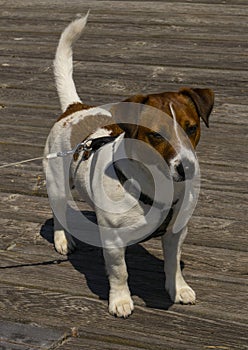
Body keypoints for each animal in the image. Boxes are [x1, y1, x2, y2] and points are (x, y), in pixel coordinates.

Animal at [43, 14, 214, 318]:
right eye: (156, 135)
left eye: (191, 128)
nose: (187, 169)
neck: (155, 186)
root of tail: (74, 108)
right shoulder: (113, 241)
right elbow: (119, 272)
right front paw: (121, 300)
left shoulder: (176, 232)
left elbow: (173, 264)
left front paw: (178, 289)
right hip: (57, 185)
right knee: (58, 211)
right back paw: (63, 239)